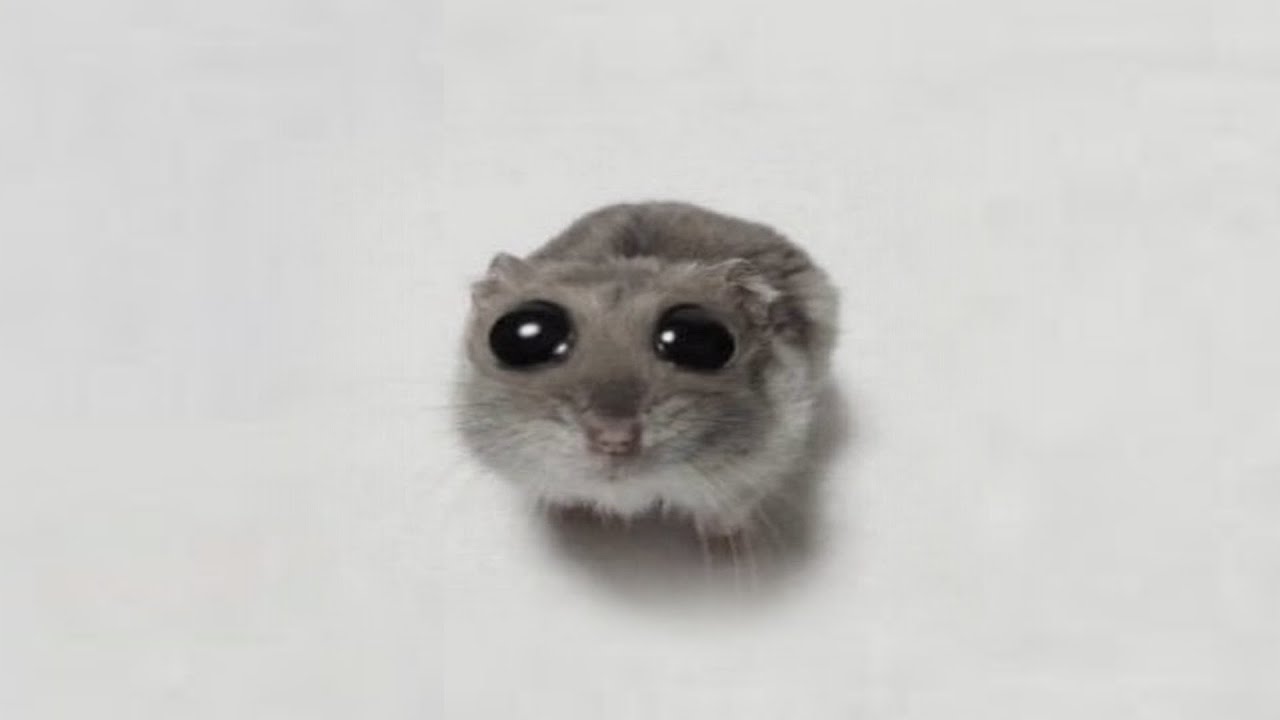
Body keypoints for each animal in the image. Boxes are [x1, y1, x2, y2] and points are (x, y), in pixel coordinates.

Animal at [456, 202, 838, 536]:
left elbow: (730, 506)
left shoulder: (769, 458)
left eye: (700, 340)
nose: (614, 438)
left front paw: (729, 542)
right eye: (523, 336)